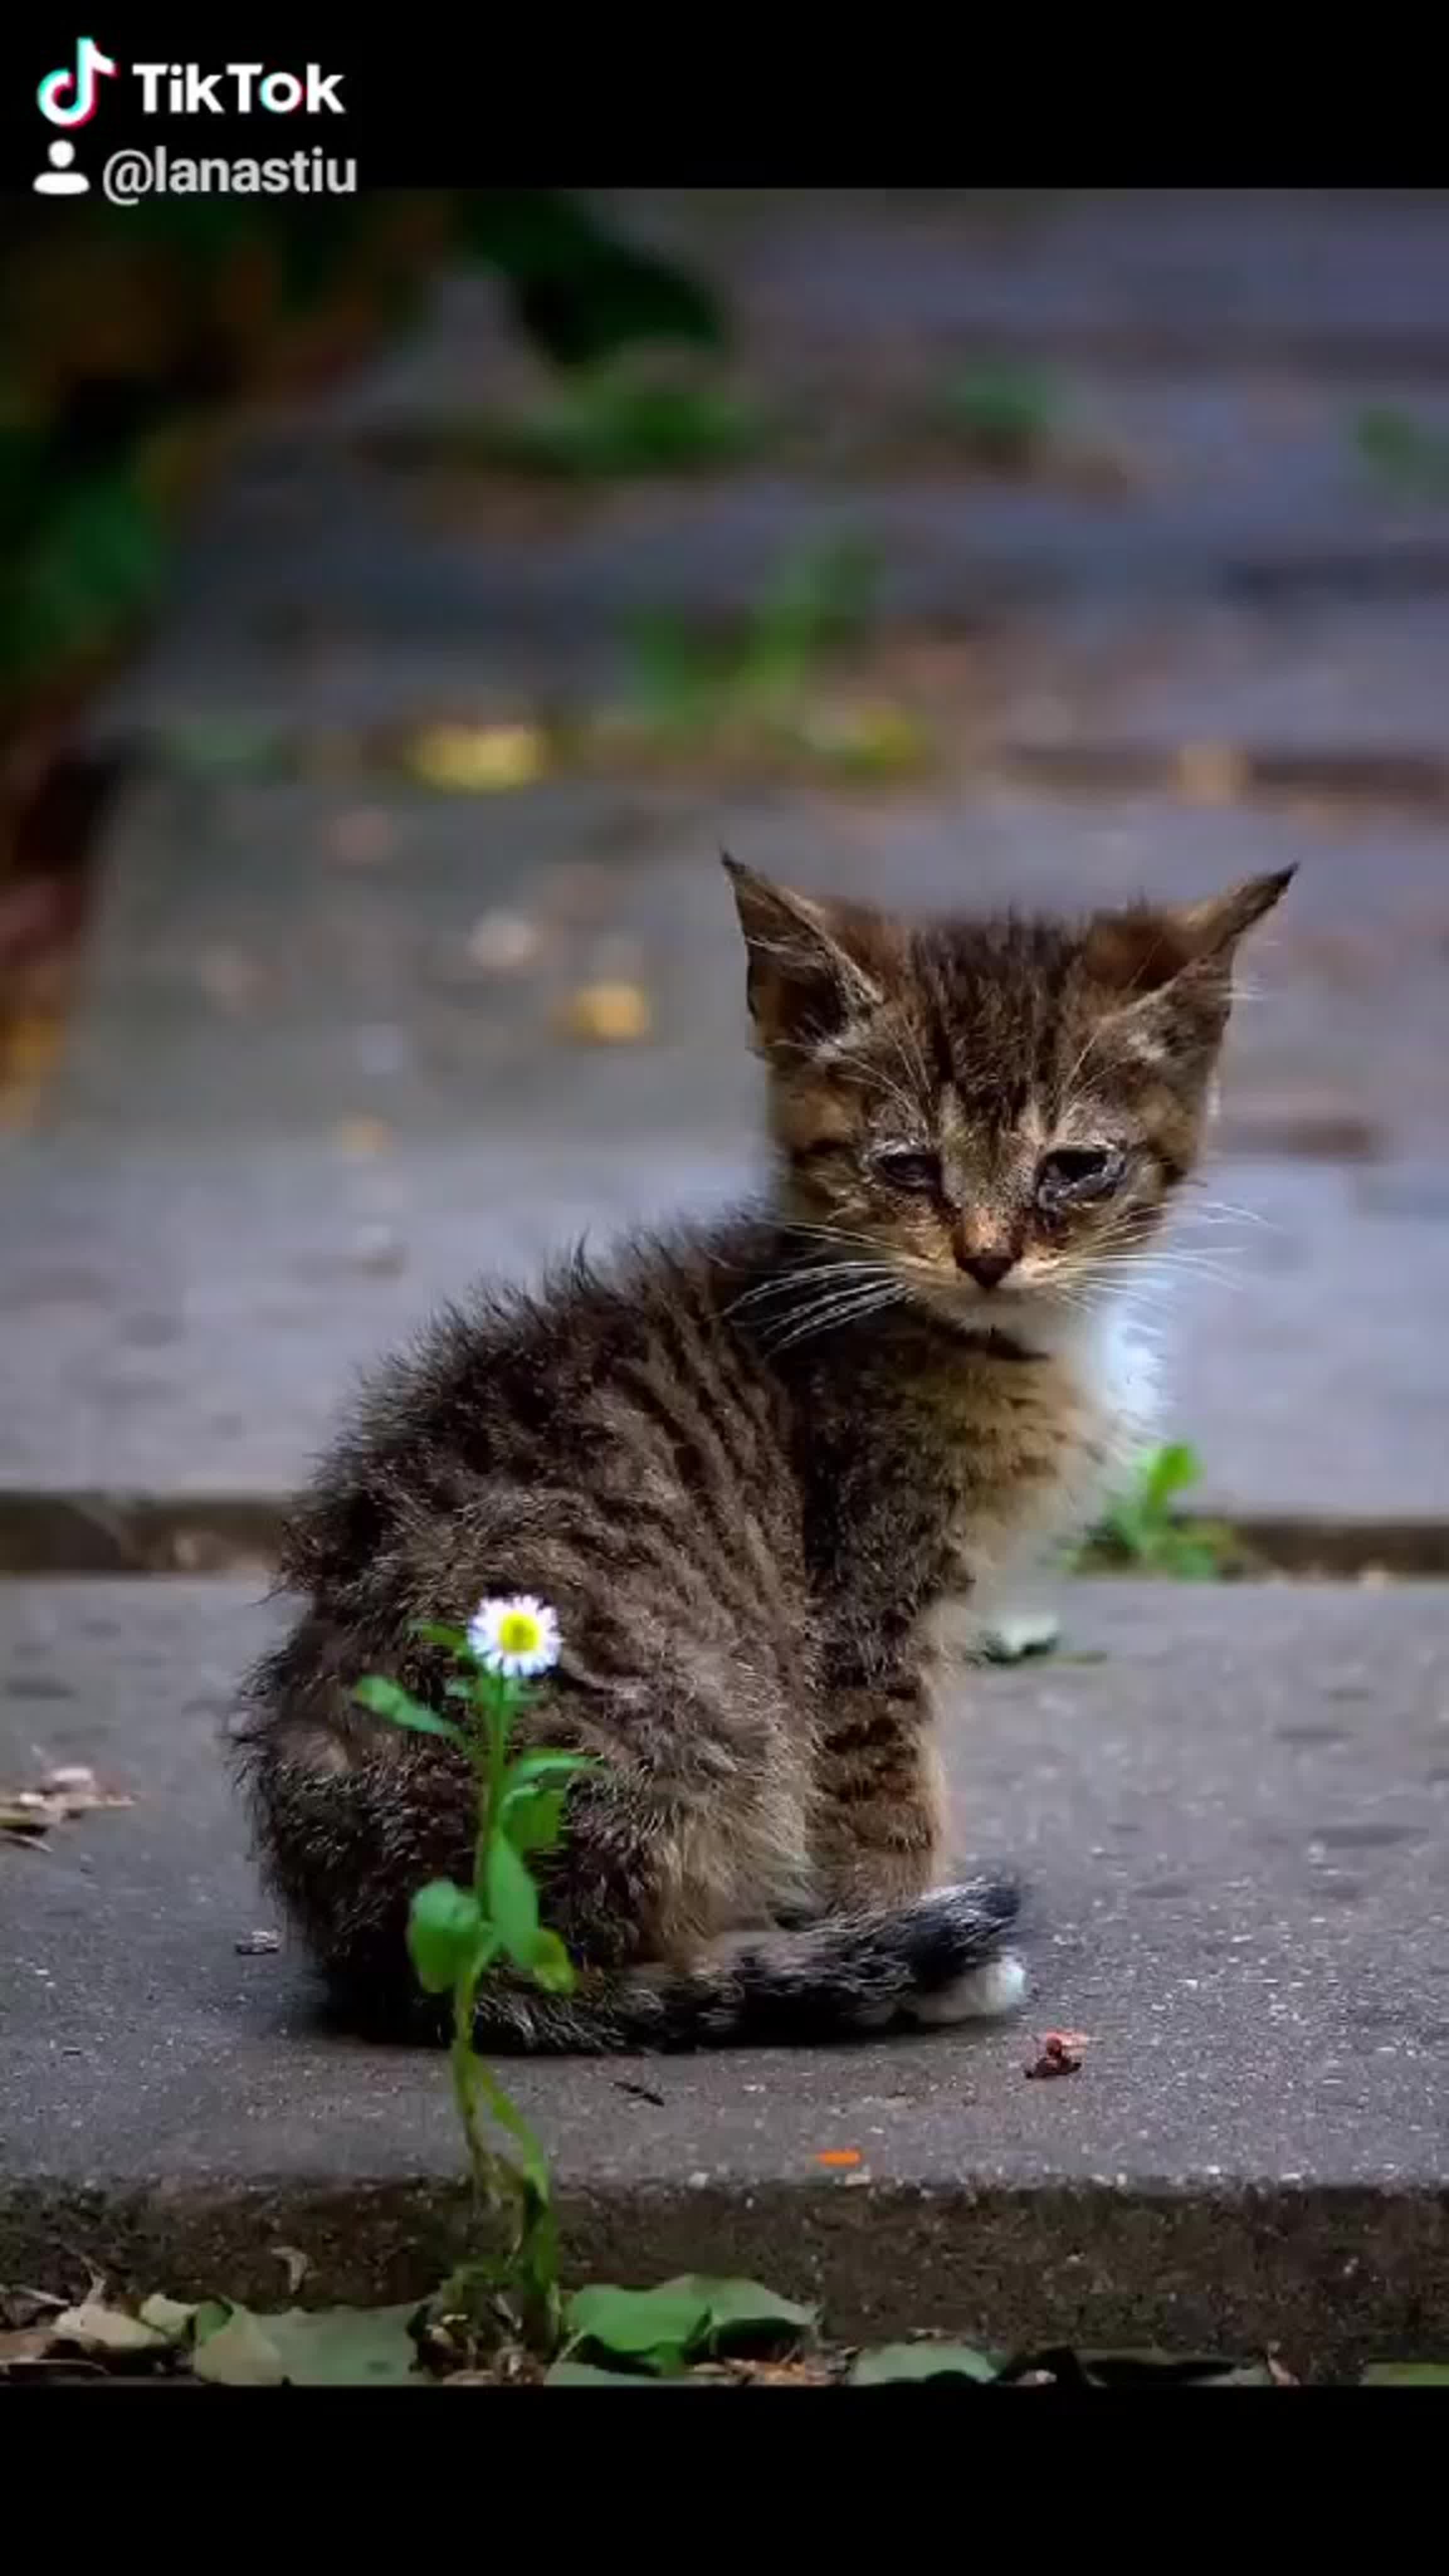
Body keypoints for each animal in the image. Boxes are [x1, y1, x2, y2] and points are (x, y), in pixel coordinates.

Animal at [235, 855, 1284, 2040]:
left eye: (1073, 1167)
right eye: (907, 1168)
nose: (985, 1256)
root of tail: (397, 1951)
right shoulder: (865, 1613)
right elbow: (883, 1795)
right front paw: (916, 1941)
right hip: (679, 1724)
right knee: (583, 1957)